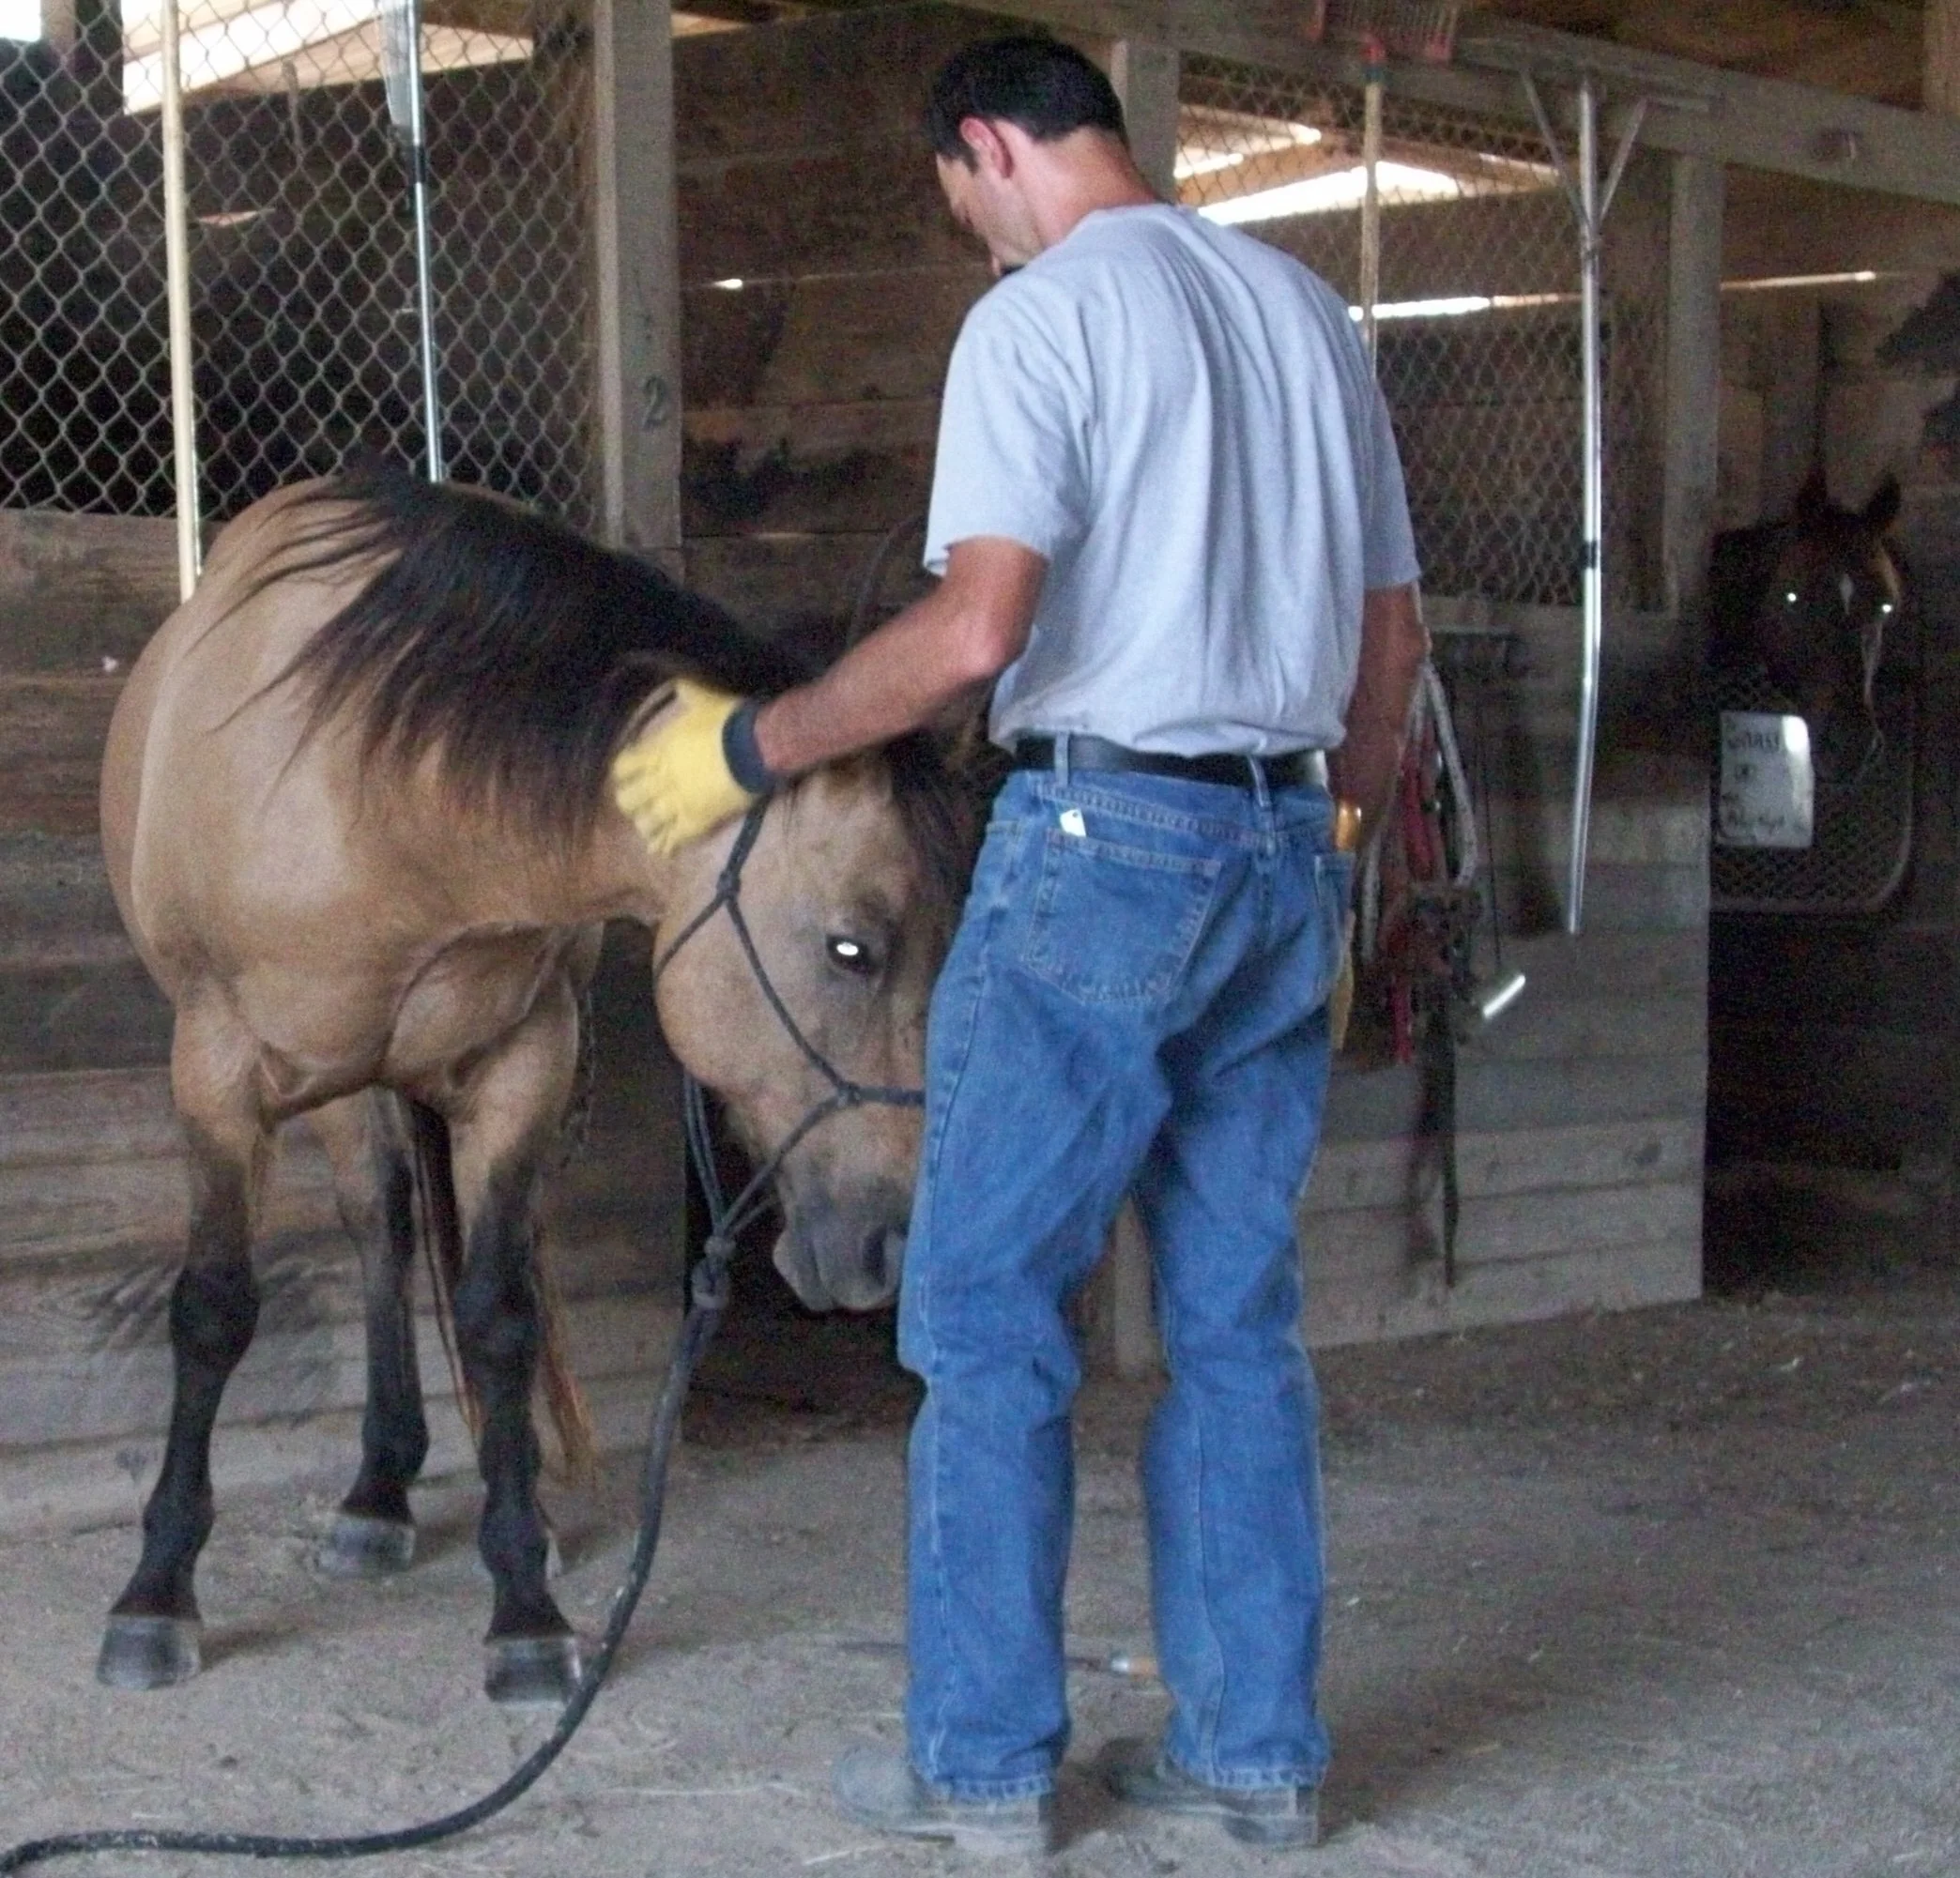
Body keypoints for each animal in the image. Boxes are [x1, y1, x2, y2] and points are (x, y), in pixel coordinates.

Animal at [95, 464, 977, 1706]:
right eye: (852, 948)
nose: (888, 1250)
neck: (383, 803)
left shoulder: (523, 1070)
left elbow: (499, 1316)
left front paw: (522, 1602)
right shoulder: (218, 1078)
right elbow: (212, 1312)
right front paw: (156, 1591)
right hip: (339, 1086)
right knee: (380, 1225)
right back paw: (374, 1499)